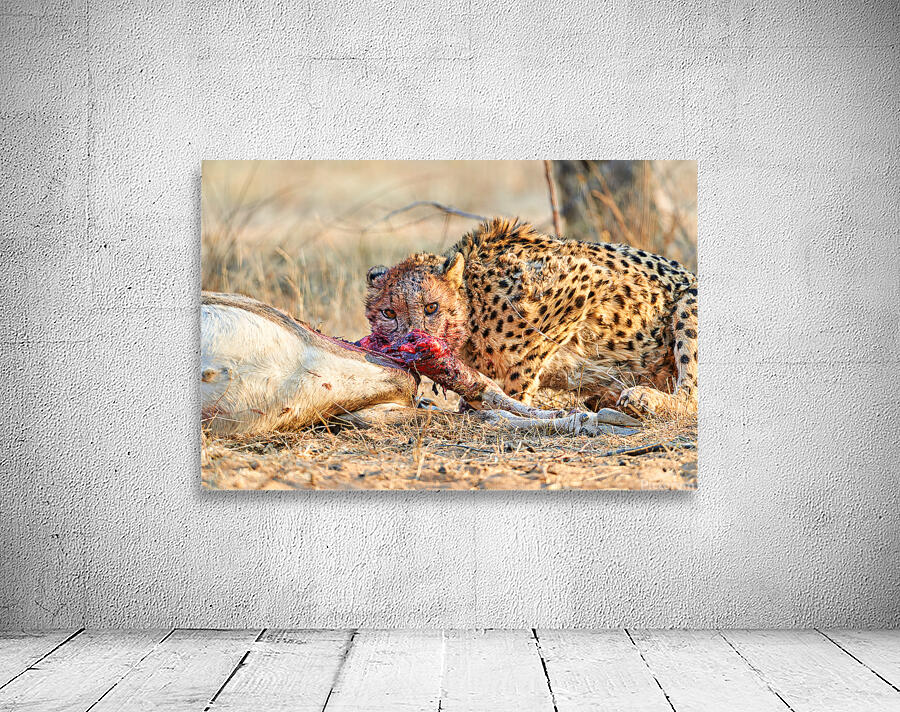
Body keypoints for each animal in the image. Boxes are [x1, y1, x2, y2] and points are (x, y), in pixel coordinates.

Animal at [364, 217, 698, 417]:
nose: (414, 339)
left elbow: (527, 360)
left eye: (431, 307)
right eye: (389, 313)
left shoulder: (585, 280)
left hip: (689, 299)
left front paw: (512, 403)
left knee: (691, 395)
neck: (474, 304)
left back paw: (643, 399)